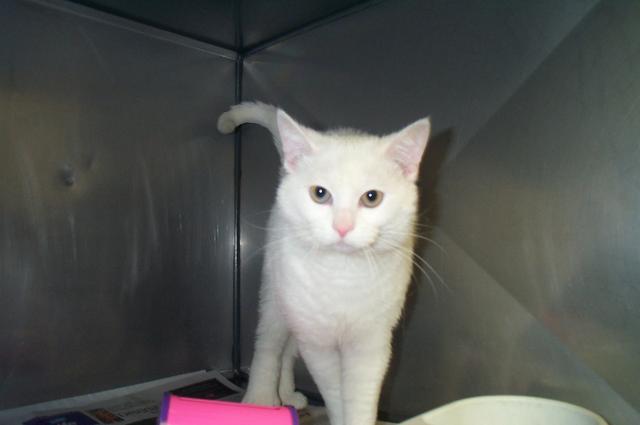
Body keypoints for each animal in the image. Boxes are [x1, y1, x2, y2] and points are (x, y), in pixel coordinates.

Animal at [217, 102, 431, 425]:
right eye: (319, 193)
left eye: (372, 197)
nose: (342, 226)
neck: (342, 273)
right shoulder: (318, 344)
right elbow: (334, 392)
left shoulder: (370, 344)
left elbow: (360, 399)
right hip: (278, 295)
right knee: (269, 345)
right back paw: (261, 399)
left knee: (287, 350)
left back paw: (287, 395)